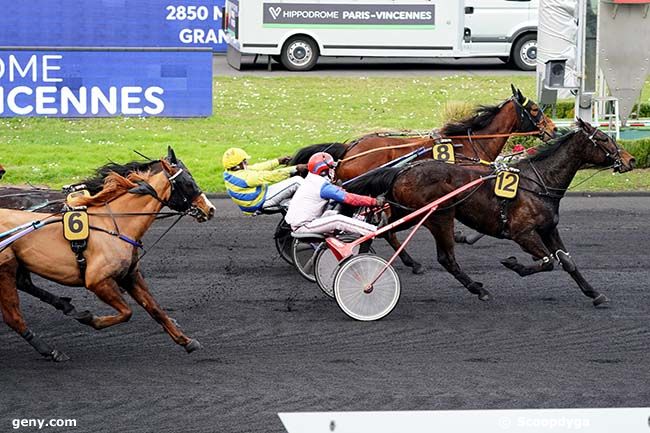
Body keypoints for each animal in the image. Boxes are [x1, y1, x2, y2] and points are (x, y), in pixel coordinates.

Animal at [0, 148, 216, 362]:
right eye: (188, 182)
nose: (210, 209)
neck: (115, 223)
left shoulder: (130, 275)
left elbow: (155, 308)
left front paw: (186, 340)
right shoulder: (97, 281)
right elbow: (127, 312)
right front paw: (89, 318)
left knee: (24, 286)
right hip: (6, 268)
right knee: (13, 317)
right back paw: (50, 350)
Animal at [344, 120, 632, 306]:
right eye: (604, 139)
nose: (631, 160)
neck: (538, 183)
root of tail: (402, 170)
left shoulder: (549, 228)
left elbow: (567, 262)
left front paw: (595, 294)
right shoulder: (522, 233)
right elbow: (548, 261)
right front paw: (514, 264)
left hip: (409, 213)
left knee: (378, 231)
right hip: (438, 216)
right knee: (445, 258)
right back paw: (477, 289)